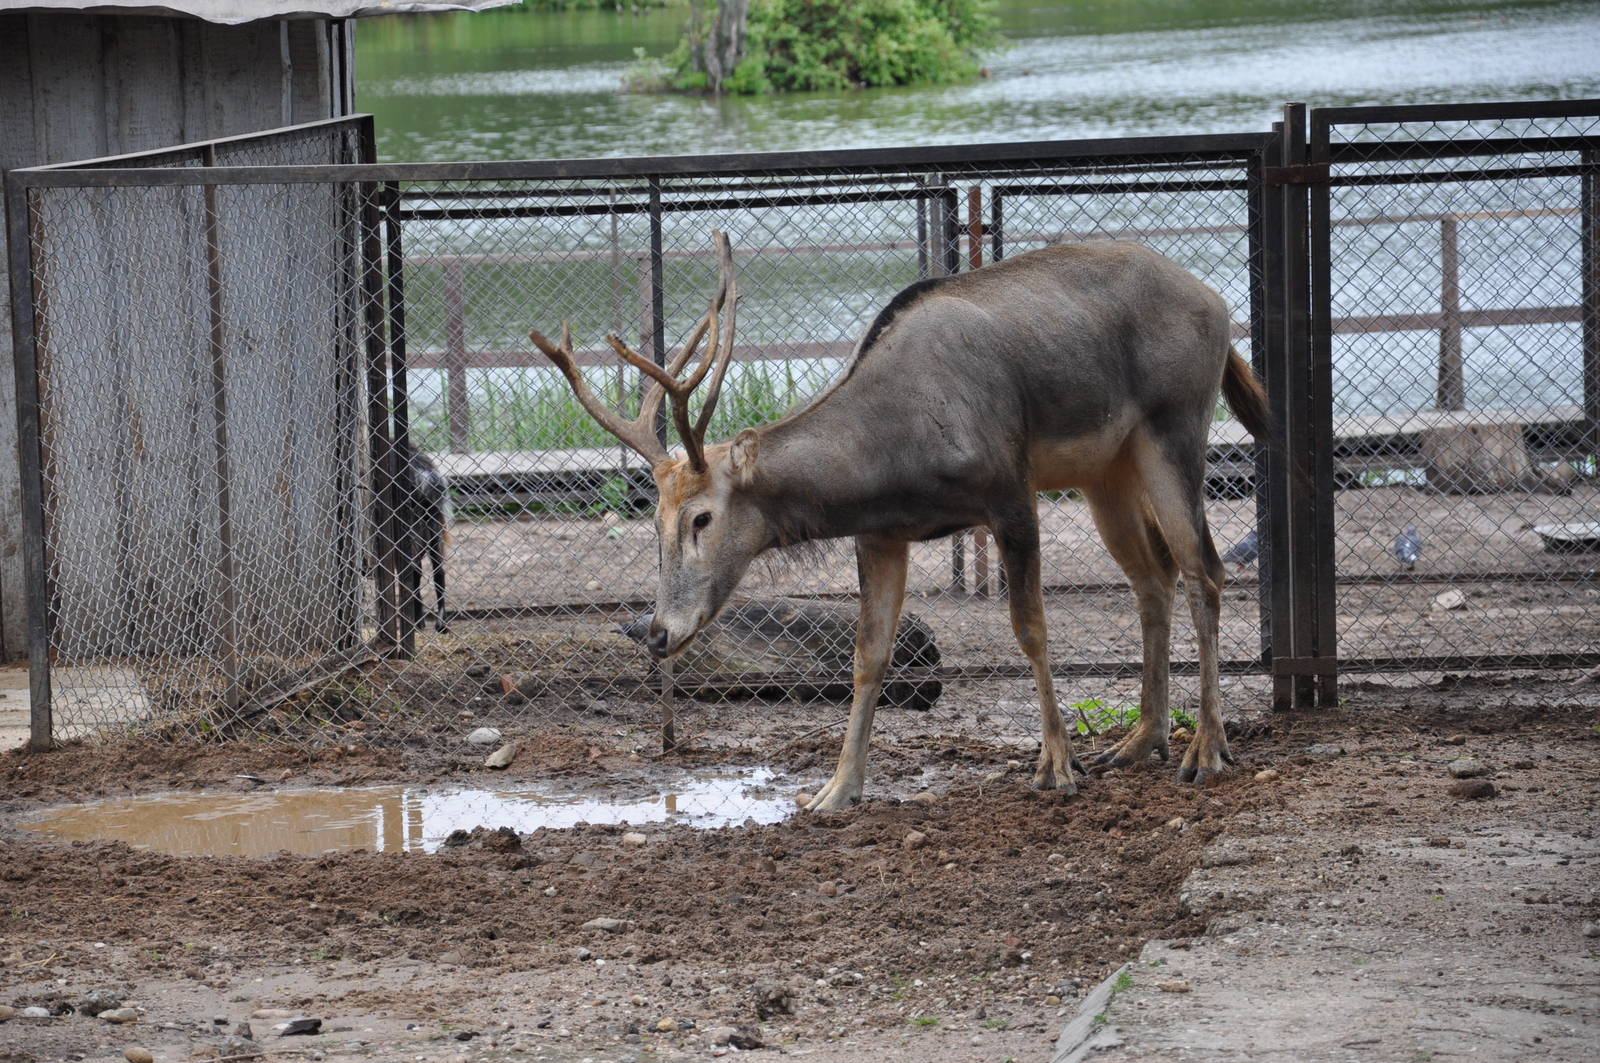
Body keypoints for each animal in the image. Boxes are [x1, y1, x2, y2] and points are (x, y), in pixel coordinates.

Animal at [530, 230, 1270, 812]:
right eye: (656, 520)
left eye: (702, 517)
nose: (656, 631)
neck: (893, 459)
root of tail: (1219, 307)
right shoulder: (881, 534)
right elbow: (869, 655)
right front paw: (836, 789)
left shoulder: (1010, 492)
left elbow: (1030, 627)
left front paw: (1056, 765)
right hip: (1106, 470)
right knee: (1154, 576)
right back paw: (1141, 740)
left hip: (1174, 426)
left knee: (1204, 569)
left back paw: (1206, 749)